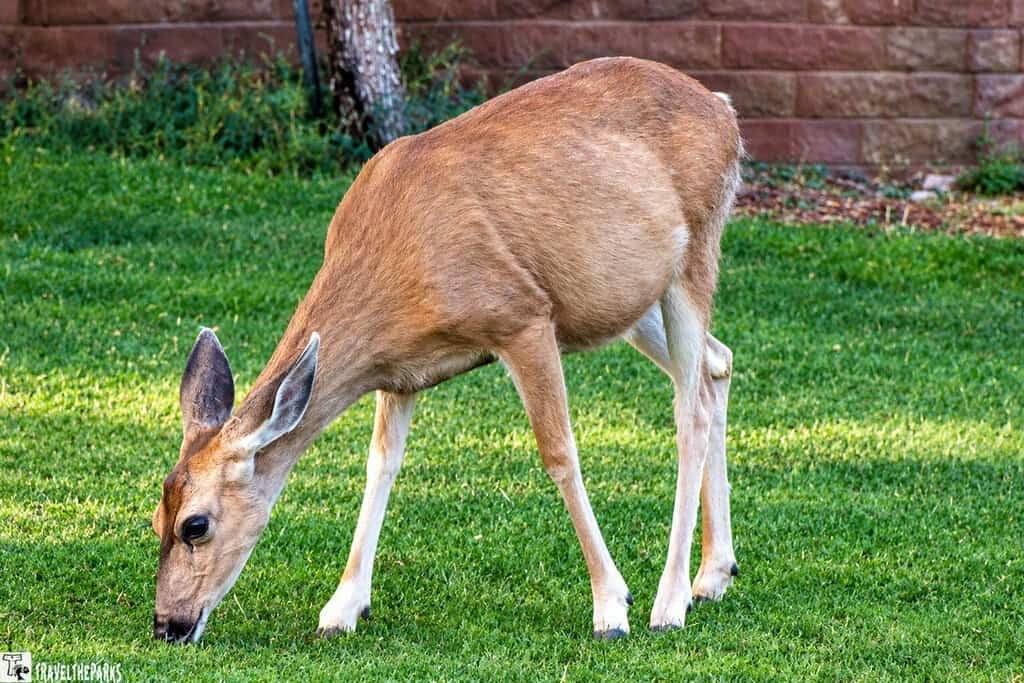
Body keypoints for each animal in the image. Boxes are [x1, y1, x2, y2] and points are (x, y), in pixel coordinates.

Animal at [152, 56, 743, 644]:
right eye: (154, 518)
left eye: (195, 525)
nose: (167, 625)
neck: (395, 263)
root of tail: (725, 111)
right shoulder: (399, 372)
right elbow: (381, 464)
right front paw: (343, 607)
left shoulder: (523, 317)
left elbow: (559, 454)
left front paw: (611, 606)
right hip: (628, 300)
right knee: (718, 363)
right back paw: (713, 575)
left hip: (694, 252)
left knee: (690, 409)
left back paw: (669, 602)